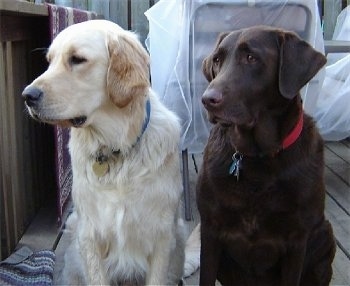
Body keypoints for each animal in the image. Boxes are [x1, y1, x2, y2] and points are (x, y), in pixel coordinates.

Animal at [21, 19, 187, 284]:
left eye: (77, 59)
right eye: (49, 60)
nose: (27, 95)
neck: (113, 148)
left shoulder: (161, 236)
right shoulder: (90, 234)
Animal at [197, 25, 336, 284]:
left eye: (251, 58)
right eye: (217, 60)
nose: (207, 100)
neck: (257, 157)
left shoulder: (297, 240)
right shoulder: (210, 229)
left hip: (325, 235)